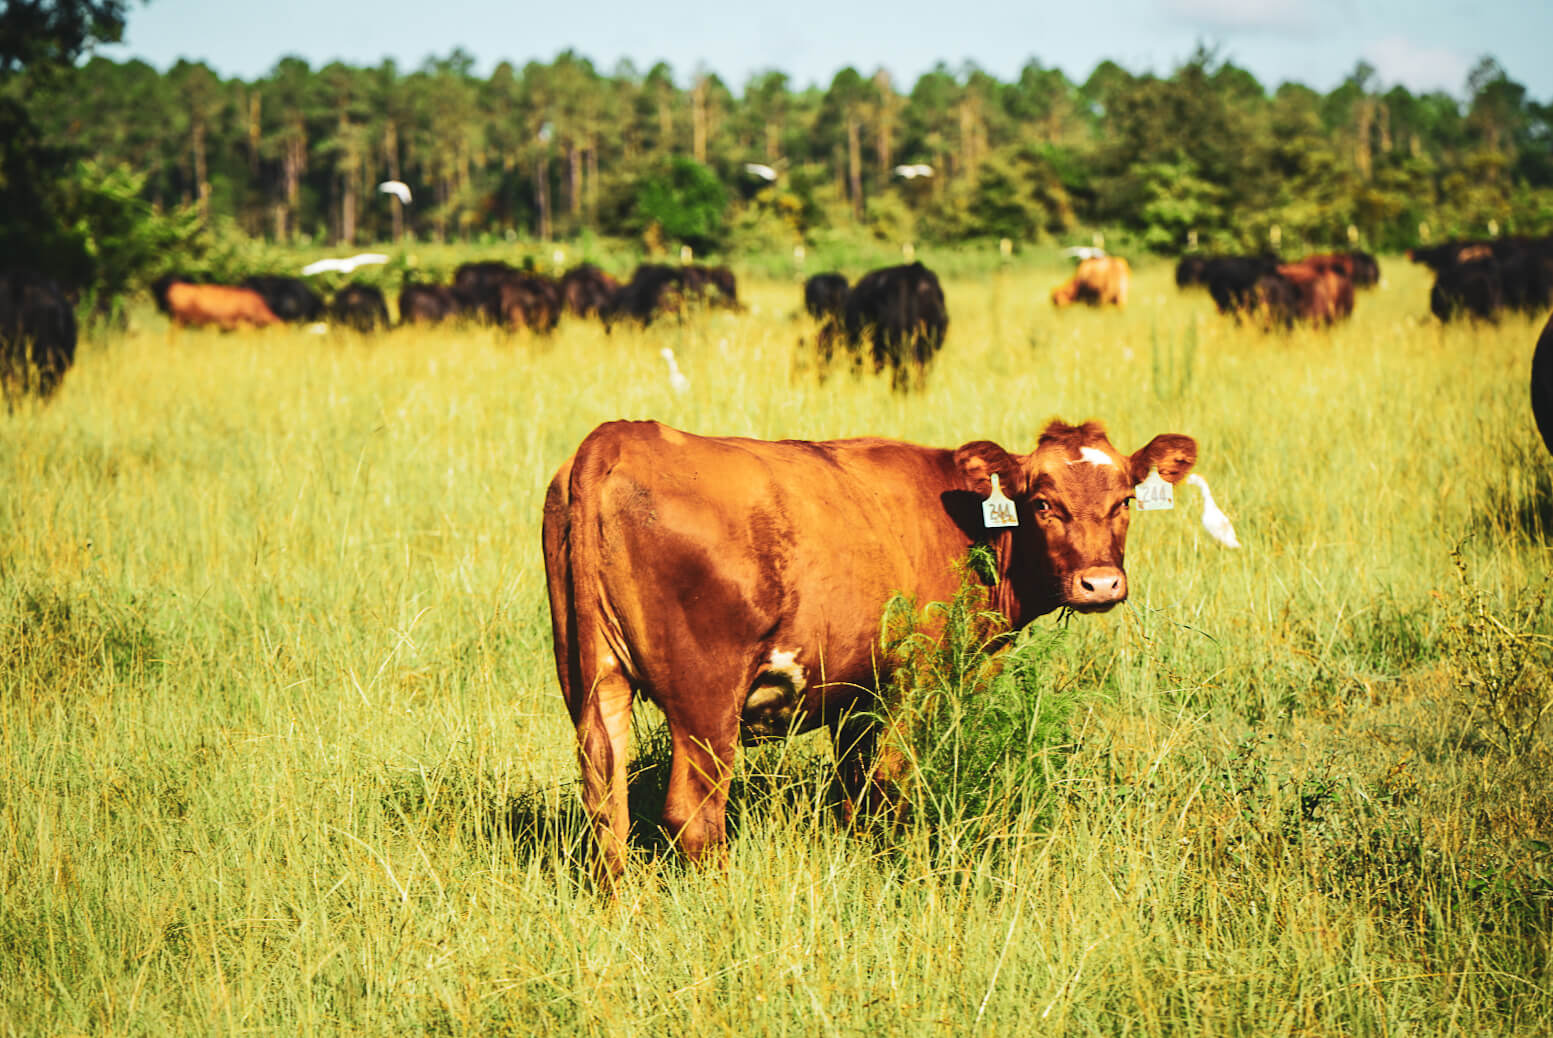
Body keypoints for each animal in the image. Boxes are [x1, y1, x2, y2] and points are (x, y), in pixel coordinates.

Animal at [546, 413, 1198, 876]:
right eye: (1043, 503)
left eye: (1125, 502)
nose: (1100, 583)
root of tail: (619, 438)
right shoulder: (917, 683)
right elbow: (892, 790)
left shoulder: (856, 694)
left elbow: (856, 793)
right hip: (706, 702)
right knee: (695, 817)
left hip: (594, 683)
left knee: (606, 804)